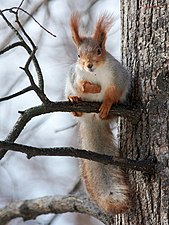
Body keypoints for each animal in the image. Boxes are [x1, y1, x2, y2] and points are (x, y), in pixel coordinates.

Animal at [64, 12, 131, 214]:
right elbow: (81, 85)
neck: (95, 74)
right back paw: (74, 103)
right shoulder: (75, 76)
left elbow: (112, 93)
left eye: (99, 51)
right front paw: (91, 88)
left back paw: (104, 112)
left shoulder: (117, 78)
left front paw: (107, 103)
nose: (89, 65)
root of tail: (91, 119)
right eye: (78, 55)